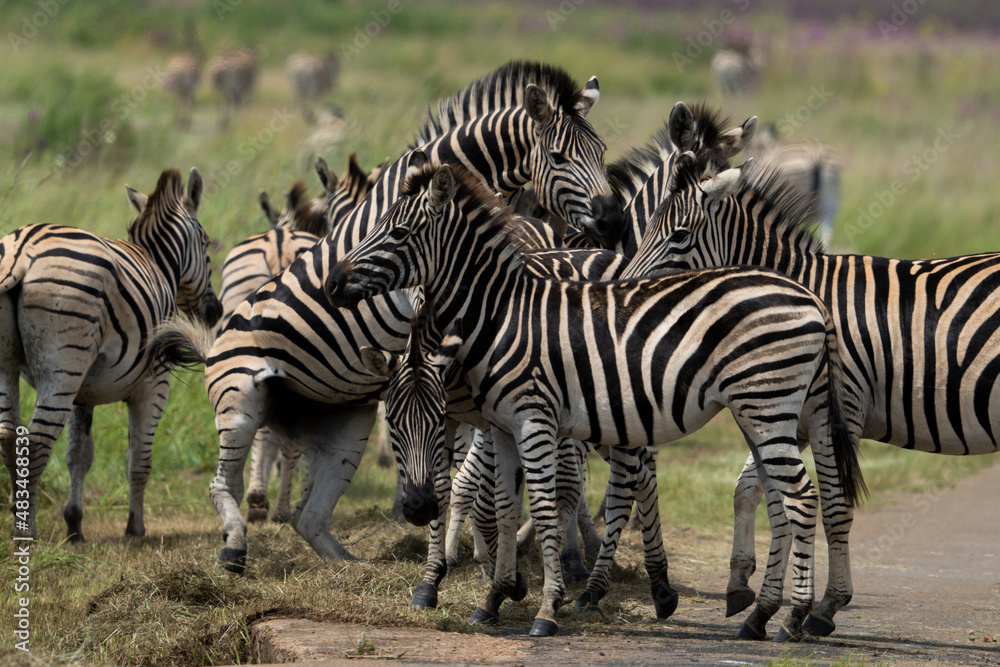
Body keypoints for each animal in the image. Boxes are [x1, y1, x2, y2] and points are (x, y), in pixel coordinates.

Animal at [0, 168, 221, 542]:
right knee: (37, 441)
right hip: (62, 368)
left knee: (7, 436)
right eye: (205, 243)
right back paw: (26, 531)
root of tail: (21, 252)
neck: (157, 263)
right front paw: (135, 529)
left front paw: (74, 525)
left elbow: (79, 455)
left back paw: (20, 516)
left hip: (12, 368)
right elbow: (139, 459)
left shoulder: (82, 392)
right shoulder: (154, 384)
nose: (214, 312)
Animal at [158, 62, 626, 583]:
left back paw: (351, 565)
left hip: (346, 428)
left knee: (309, 516)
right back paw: (235, 546)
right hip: (239, 402)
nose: (614, 222)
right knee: (224, 485)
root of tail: (214, 344)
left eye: (602, 152)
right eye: (559, 156)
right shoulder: (418, 305)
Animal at [325, 161, 865, 638]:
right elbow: (502, 506)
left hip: (767, 405)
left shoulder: (533, 417)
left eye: (396, 232)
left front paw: (546, 609)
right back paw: (758, 615)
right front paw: (494, 598)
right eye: (392, 423)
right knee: (779, 499)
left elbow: (542, 506)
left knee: (801, 498)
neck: (498, 316)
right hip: (766, 410)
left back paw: (794, 617)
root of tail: (810, 298)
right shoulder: (500, 425)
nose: (331, 283)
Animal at [629, 153, 1000, 638]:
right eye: (645, 229)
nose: (627, 291)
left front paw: (824, 606)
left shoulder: (834, 412)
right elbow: (754, 492)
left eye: (678, 235)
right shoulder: (789, 415)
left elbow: (834, 507)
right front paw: (745, 590)